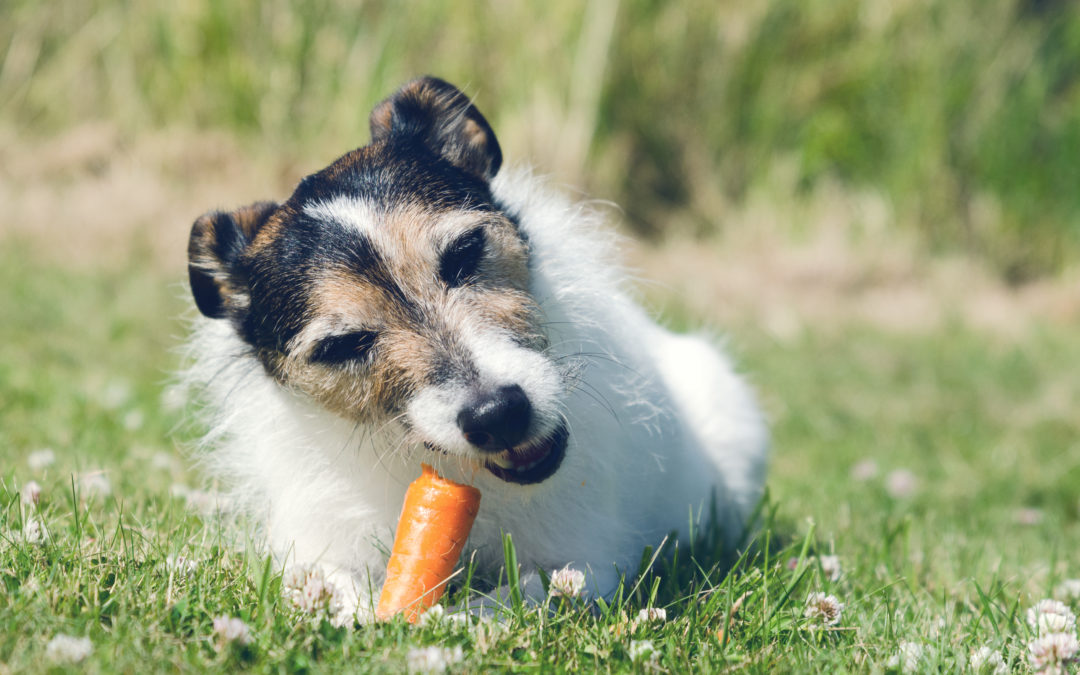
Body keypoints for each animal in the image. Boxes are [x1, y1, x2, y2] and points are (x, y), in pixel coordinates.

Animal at [183, 77, 768, 622]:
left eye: (465, 253)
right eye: (343, 344)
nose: (499, 415)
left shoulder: (590, 561)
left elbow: (527, 595)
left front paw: (457, 620)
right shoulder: (316, 545)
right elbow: (324, 582)